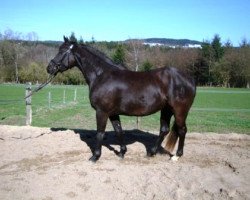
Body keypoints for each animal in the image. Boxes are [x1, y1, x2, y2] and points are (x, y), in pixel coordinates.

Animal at [46, 36, 195, 162]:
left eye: (62, 51)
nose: (50, 68)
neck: (101, 75)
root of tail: (189, 79)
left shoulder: (102, 112)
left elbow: (100, 133)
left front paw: (95, 156)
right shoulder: (112, 113)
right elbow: (119, 131)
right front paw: (122, 152)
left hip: (180, 110)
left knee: (182, 130)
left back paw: (176, 156)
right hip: (166, 109)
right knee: (164, 129)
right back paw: (151, 152)